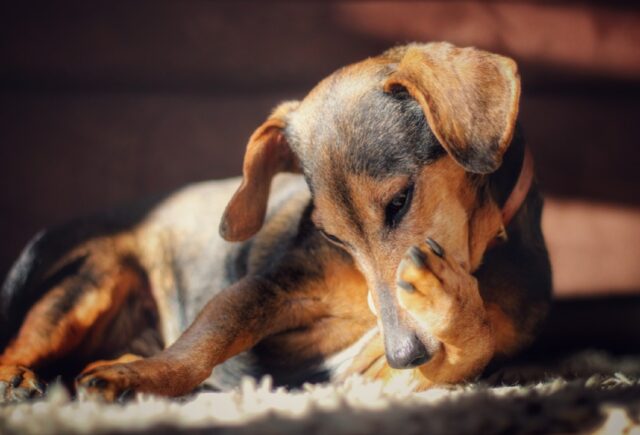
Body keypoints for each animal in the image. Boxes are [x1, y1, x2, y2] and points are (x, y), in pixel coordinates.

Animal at [0, 42, 552, 404]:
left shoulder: (374, 375)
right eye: (330, 235)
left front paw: (449, 304)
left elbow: (471, 350)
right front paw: (136, 378)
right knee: (23, 341)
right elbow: (199, 345)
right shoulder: (268, 288)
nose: (404, 351)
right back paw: (20, 378)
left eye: (399, 202)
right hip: (91, 284)